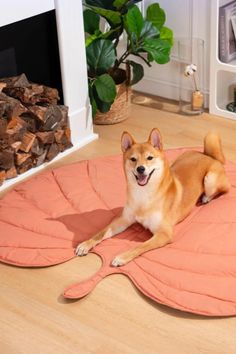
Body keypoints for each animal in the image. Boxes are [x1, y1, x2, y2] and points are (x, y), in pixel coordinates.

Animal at [76, 129, 230, 266]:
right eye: (133, 159)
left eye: (149, 158)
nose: (140, 169)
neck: (143, 195)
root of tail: (209, 156)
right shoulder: (124, 219)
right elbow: (101, 233)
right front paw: (86, 244)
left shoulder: (164, 233)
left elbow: (140, 246)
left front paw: (122, 257)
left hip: (210, 180)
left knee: (222, 190)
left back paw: (206, 198)